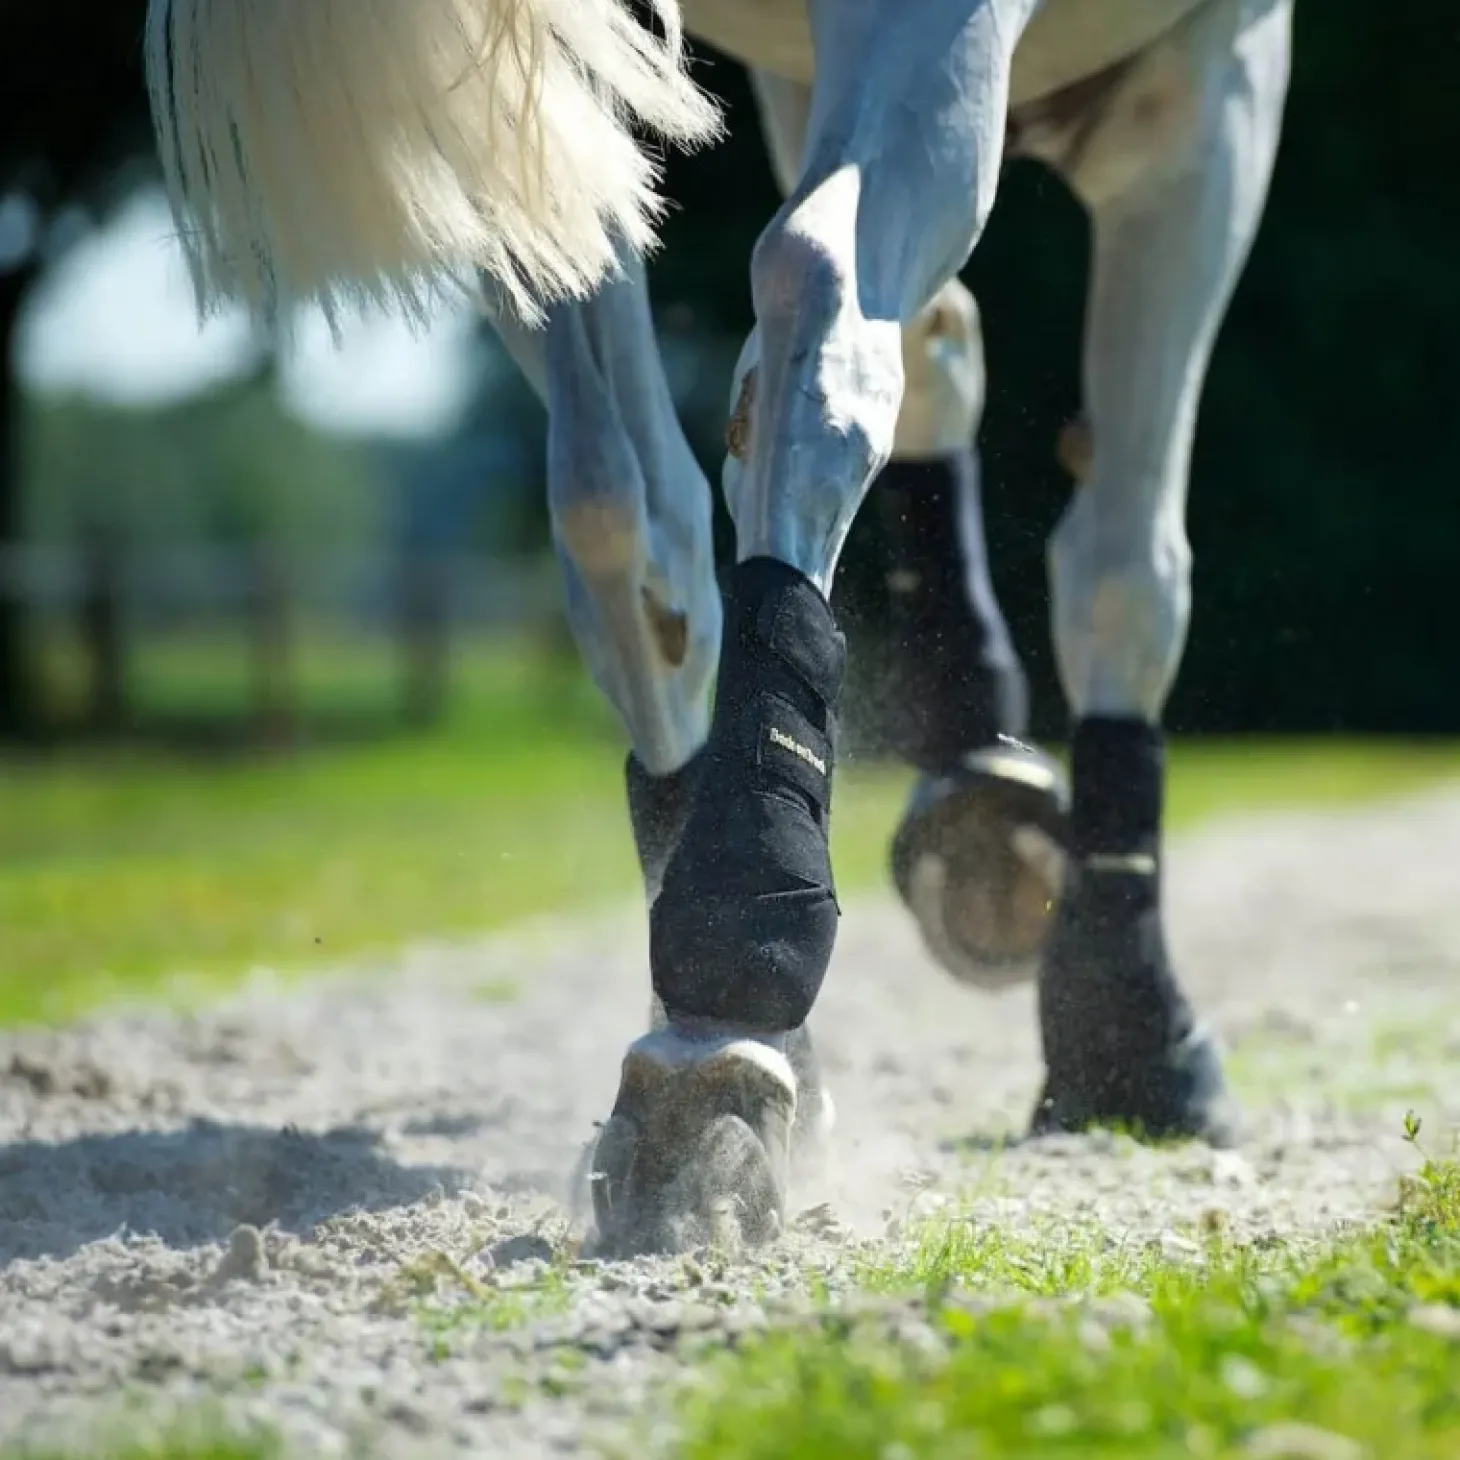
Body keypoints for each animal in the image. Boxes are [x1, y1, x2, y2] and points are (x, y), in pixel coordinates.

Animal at [143, 0, 1293, 1255]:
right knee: (816, 309)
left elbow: (928, 359)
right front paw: (1132, 1045)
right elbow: (1128, 568)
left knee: (626, 508)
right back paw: (734, 989)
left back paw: (722, 1012)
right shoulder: (1211, 83)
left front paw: (988, 809)